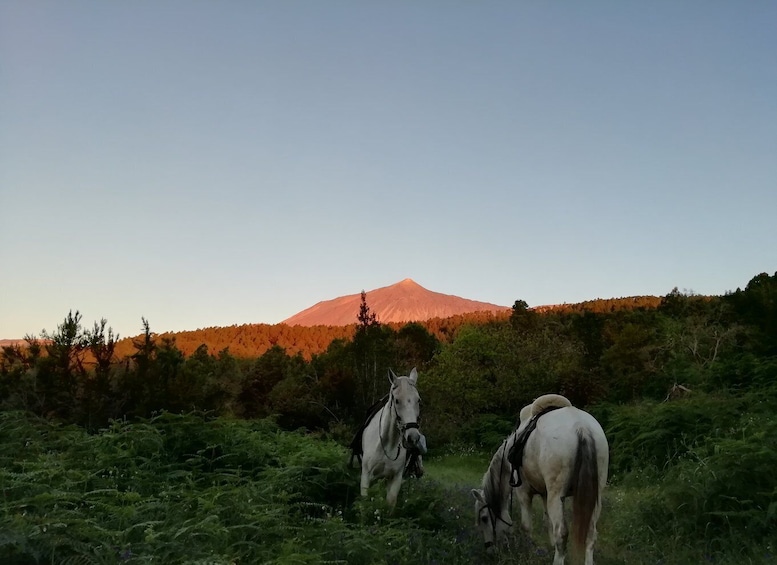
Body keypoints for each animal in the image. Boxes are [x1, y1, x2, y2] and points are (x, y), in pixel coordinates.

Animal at [358, 368, 424, 508]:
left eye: (418, 401)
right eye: (397, 400)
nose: (413, 437)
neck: (387, 444)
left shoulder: (395, 478)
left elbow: (390, 503)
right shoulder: (366, 476)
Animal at [472, 392, 608, 564]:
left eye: (484, 518)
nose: (489, 549)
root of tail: (581, 426)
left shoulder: (523, 492)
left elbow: (526, 526)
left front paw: (528, 551)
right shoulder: (545, 494)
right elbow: (547, 521)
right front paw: (550, 546)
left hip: (557, 496)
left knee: (562, 533)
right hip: (595, 496)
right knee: (590, 534)